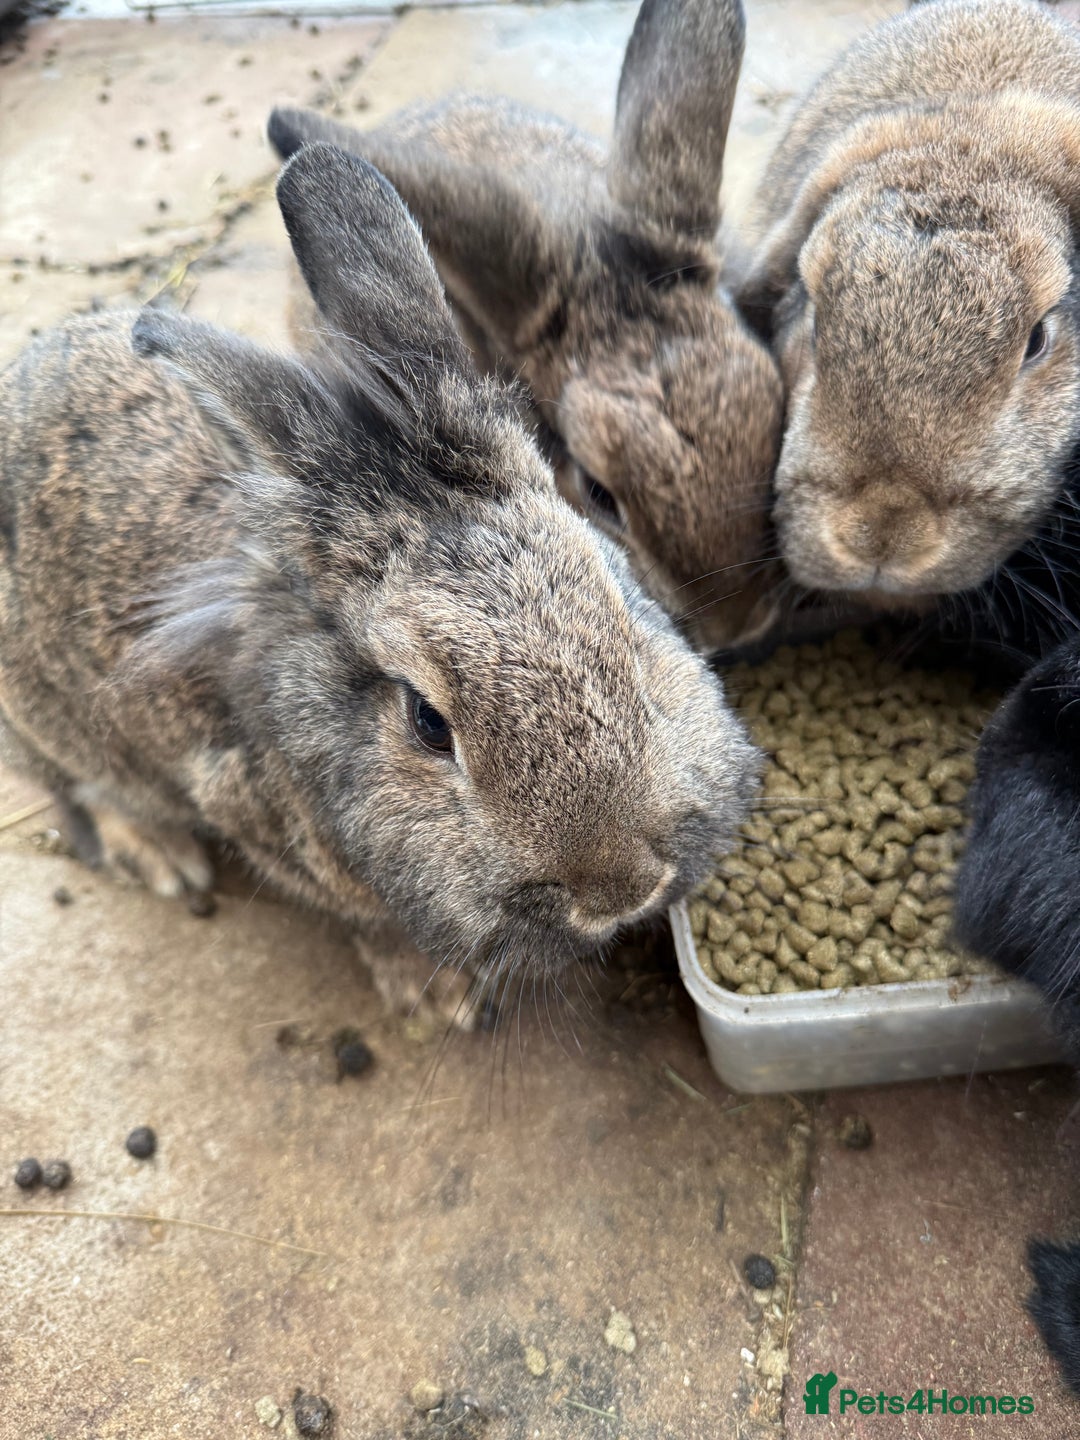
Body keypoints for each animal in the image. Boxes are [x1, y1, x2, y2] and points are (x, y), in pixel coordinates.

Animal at [0, 142, 760, 1029]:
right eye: (428, 724)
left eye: (626, 631)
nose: (619, 890)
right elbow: (370, 922)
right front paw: (440, 1002)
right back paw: (159, 857)